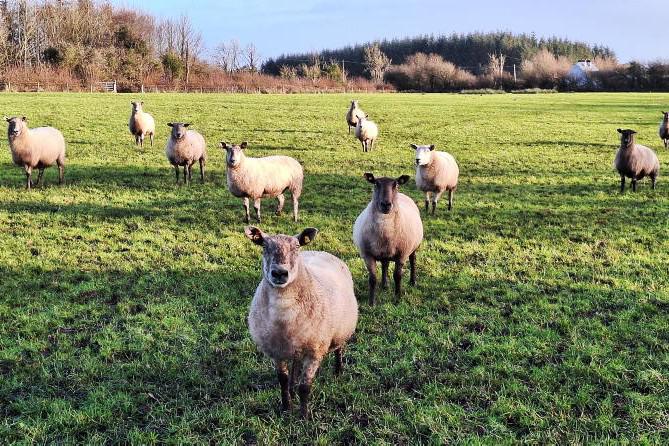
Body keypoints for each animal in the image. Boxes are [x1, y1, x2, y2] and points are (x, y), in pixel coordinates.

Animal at [245, 226, 358, 418]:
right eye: (264, 246)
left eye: (297, 247)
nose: (280, 273)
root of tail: (320, 251)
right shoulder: (277, 351)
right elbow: (282, 381)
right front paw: (286, 408)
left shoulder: (314, 351)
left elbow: (305, 387)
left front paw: (303, 417)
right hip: (297, 345)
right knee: (295, 366)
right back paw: (292, 388)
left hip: (340, 329)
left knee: (339, 348)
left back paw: (338, 371)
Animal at [353, 173, 423, 305]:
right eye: (376, 183)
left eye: (396, 184)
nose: (386, 205)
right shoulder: (367, 255)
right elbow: (372, 279)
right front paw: (371, 303)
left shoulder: (402, 254)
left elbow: (397, 276)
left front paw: (397, 299)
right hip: (385, 251)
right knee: (385, 264)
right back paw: (384, 285)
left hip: (414, 245)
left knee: (413, 260)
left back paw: (413, 281)